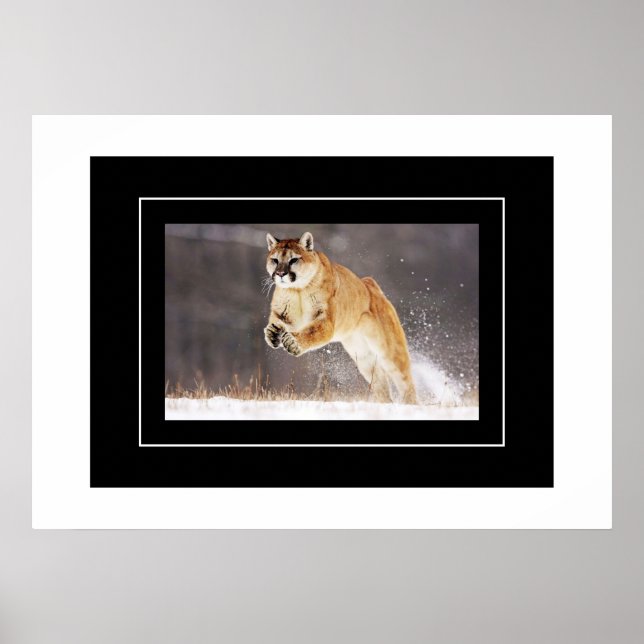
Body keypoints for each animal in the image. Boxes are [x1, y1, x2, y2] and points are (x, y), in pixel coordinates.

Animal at [264, 232, 417, 404]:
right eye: (275, 260)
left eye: (293, 260)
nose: (280, 274)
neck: (297, 290)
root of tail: (369, 283)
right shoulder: (285, 315)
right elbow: (277, 322)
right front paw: (272, 333)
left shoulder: (325, 321)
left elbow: (311, 332)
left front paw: (292, 342)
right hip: (363, 356)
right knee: (380, 382)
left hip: (390, 351)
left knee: (405, 381)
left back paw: (410, 405)